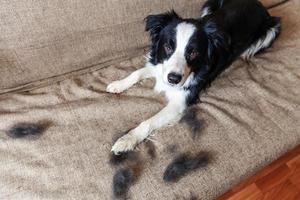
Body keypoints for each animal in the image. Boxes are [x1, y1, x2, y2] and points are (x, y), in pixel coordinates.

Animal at [107, 0, 282, 155]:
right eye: (168, 46)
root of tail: (258, 3)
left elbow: (150, 121)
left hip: (273, 28)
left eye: (193, 52)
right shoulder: (161, 67)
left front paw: (127, 140)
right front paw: (118, 84)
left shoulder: (180, 101)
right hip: (209, 4)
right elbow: (136, 73)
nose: (173, 79)